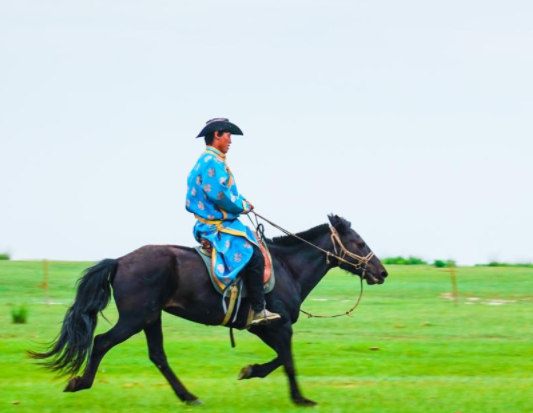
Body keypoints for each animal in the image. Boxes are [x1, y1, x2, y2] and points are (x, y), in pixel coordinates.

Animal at [30, 216, 386, 406]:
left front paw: (250, 371)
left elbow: (278, 360)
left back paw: (189, 397)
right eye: (358, 243)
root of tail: (119, 261)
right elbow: (287, 360)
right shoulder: (275, 325)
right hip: (135, 318)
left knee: (157, 355)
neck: (287, 268)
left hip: (151, 318)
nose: (381, 272)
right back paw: (80, 383)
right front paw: (300, 399)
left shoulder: (266, 328)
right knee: (102, 341)